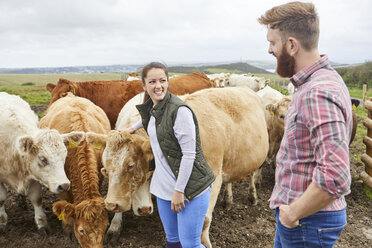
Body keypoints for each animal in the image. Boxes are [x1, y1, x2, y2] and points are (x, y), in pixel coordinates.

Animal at [0, 92, 84, 233]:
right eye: (43, 159)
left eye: (64, 156)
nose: (64, 185)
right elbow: (1, 199)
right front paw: (2, 222)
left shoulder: (33, 176)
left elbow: (37, 199)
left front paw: (42, 223)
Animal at [40, 93, 112, 248]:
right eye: (81, 230)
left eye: (106, 226)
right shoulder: (60, 183)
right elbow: (65, 202)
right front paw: (67, 229)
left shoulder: (99, 175)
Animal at [85, 86, 268, 247]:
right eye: (105, 169)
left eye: (130, 165)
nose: (110, 204)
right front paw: (114, 228)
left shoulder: (214, 178)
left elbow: (203, 221)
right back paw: (228, 199)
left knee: (251, 174)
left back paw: (252, 196)